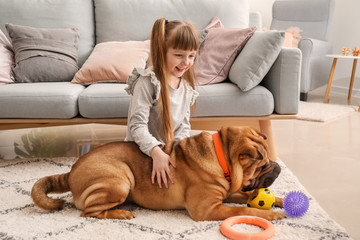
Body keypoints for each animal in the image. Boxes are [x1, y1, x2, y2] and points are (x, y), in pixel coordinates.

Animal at [31, 125, 284, 221]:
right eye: (263, 164)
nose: (279, 167)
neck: (221, 155)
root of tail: (71, 171)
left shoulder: (229, 192)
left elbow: (247, 197)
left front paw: (280, 201)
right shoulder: (208, 209)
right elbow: (240, 210)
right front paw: (270, 215)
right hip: (121, 179)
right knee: (89, 212)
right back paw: (120, 213)